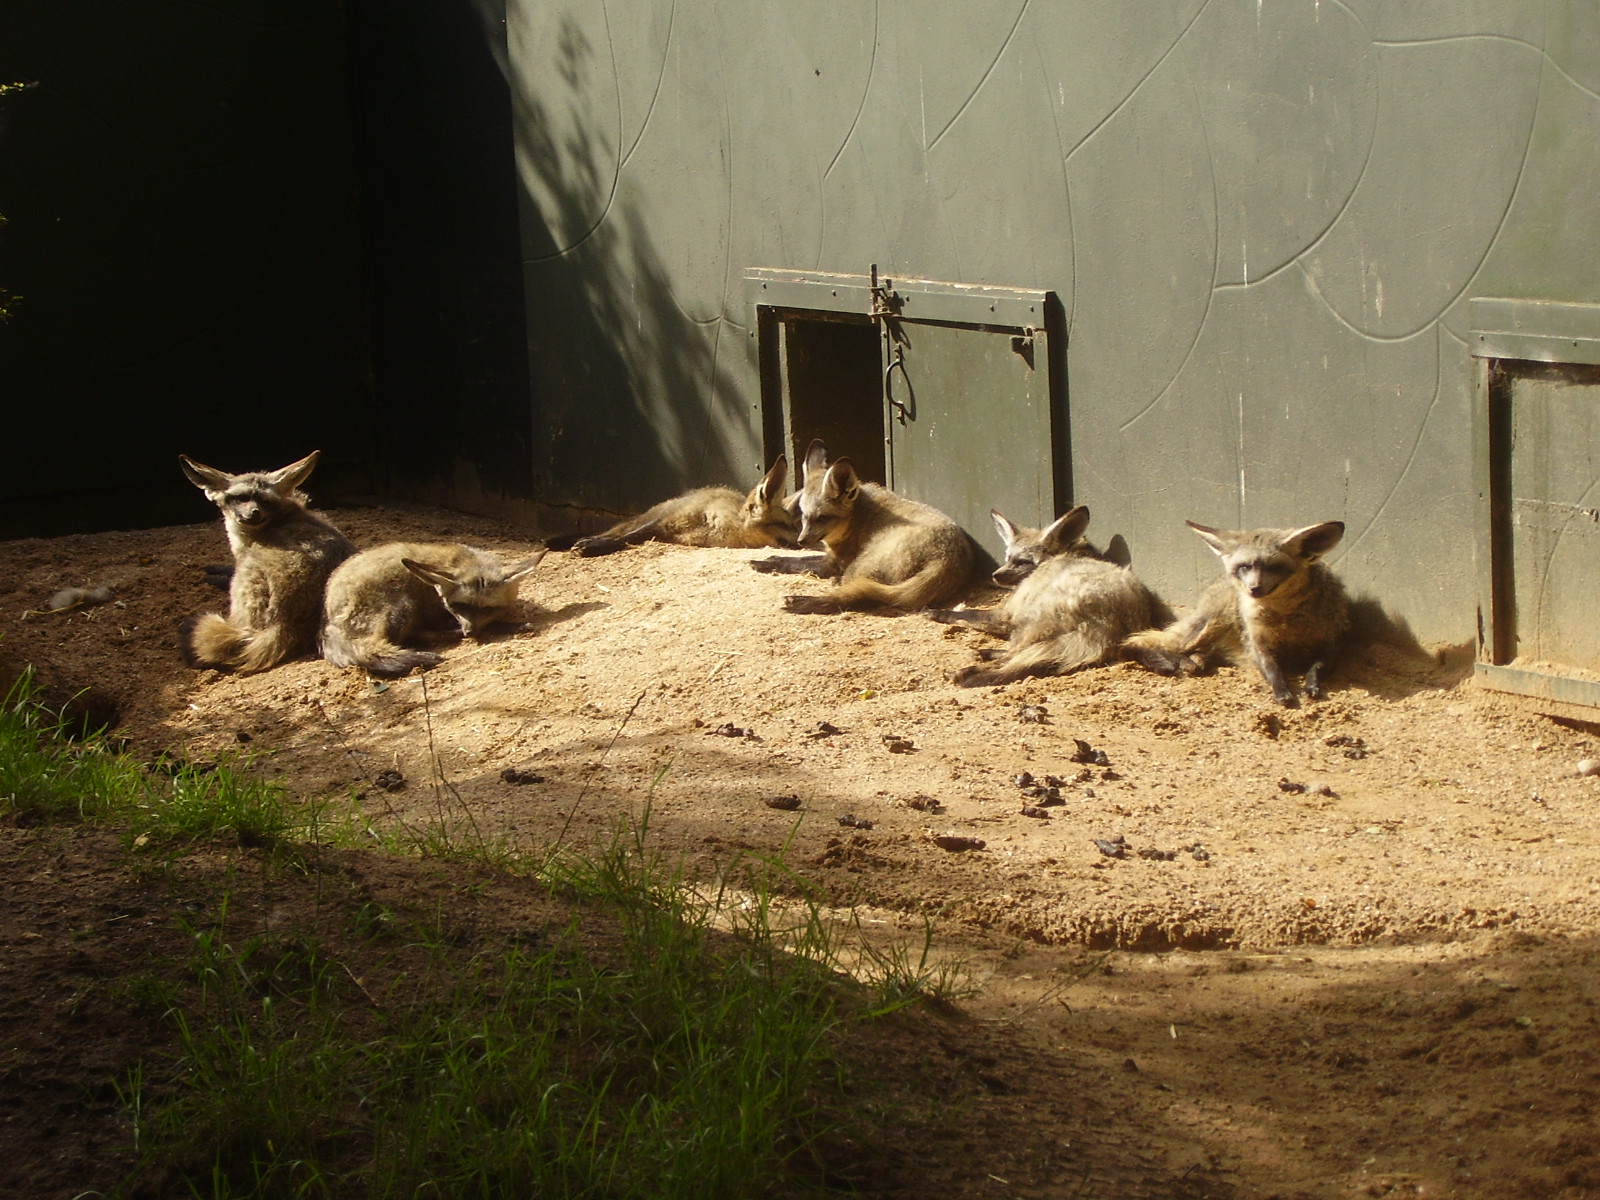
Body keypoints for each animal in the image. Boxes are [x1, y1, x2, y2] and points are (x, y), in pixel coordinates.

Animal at [321, 542, 547, 677]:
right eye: (460, 606)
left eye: (487, 608)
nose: (470, 632)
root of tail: (328, 622)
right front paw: (510, 625)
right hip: (400, 606)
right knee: (397, 641)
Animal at [563, 456, 795, 556]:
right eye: (786, 525)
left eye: (797, 524)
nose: (802, 542)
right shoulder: (665, 521)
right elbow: (628, 537)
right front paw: (593, 545)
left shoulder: (667, 532)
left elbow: (632, 538)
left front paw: (593, 545)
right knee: (617, 530)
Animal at [772, 439, 975, 614]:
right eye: (803, 515)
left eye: (822, 518)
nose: (801, 541)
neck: (856, 519)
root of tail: (947, 556)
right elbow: (793, 559)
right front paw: (770, 559)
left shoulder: (833, 564)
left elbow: (794, 562)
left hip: (857, 567)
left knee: (852, 591)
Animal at [929, 506, 1157, 687]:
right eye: (1008, 558)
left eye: (1022, 561)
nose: (995, 575)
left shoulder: (1007, 615)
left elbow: (967, 614)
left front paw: (935, 612)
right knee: (1022, 656)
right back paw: (984, 655)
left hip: (1029, 624)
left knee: (1014, 657)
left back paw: (968, 671)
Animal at [1123, 519, 1349, 707]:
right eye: (1245, 567)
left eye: (1274, 567)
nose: (1254, 589)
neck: (1287, 621)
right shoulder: (1257, 643)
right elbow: (1272, 669)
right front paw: (1281, 691)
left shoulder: (1331, 645)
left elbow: (1317, 667)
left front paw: (1312, 685)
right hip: (1213, 622)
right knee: (1139, 643)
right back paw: (1175, 661)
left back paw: (1195, 660)